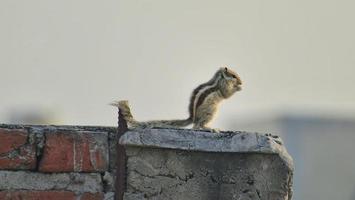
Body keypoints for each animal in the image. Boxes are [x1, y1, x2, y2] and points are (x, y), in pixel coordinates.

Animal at [112, 67, 242, 131]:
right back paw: (210, 128)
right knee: (197, 126)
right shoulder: (222, 86)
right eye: (233, 75)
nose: (241, 82)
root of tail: (192, 118)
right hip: (210, 112)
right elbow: (226, 94)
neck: (220, 78)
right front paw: (238, 88)